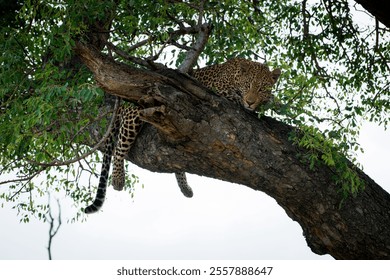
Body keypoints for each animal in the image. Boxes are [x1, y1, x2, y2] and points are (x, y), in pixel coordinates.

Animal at [85, 58, 280, 213]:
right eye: (248, 86)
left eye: (261, 89)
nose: (250, 101)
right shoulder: (218, 94)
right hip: (135, 112)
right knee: (121, 142)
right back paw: (118, 179)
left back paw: (185, 188)